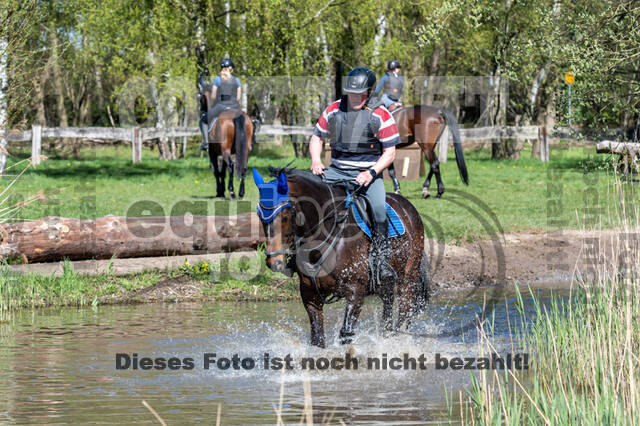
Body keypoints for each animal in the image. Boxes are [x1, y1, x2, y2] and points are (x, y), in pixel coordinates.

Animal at [251, 166, 430, 346]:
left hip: (408, 278)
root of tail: (408, 206)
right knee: (388, 310)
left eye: (285, 217)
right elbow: (317, 338)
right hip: (384, 285)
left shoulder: (356, 291)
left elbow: (346, 334)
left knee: (404, 313)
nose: (274, 261)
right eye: (260, 216)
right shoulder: (310, 294)